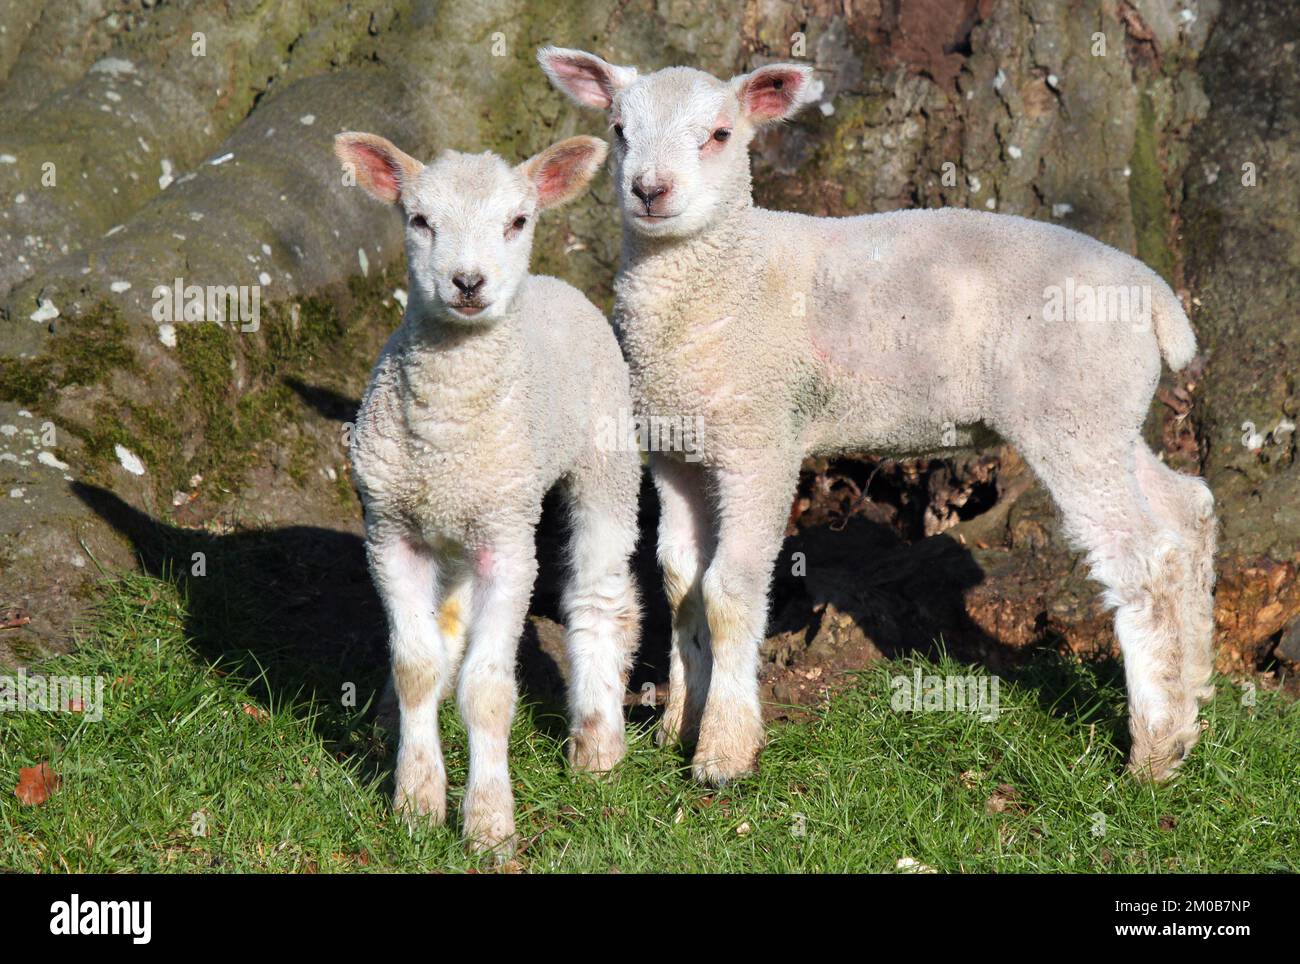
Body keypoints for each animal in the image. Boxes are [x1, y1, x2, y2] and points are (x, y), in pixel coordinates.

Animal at [332, 130, 642, 852]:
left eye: (517, 221)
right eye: (419, 220)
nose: (469, 282)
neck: (448, 430)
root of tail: (553, 282)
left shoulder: (508, 543)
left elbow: (490, 690)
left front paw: (488, 824)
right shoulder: (390, 532)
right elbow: (416, 668)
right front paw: (416, 802)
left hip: (605, 459)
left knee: (600, 595)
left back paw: (598, 743)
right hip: (457, 524)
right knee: (449, 621)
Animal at [538, 47, 1216, 784]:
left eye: (719, 134)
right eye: (618, 129)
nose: (649, 190)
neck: (729, 274)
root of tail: (1155, 296)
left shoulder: (763, 438)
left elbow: (729, 590)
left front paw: (723, 749)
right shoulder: (676, 449)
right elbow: (681, 582)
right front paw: (676, 728)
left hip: (1072, 410)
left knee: (1142, 561)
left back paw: (1154, 751)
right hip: (1107, 410)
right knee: (1186, 513)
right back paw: (1193, 704)